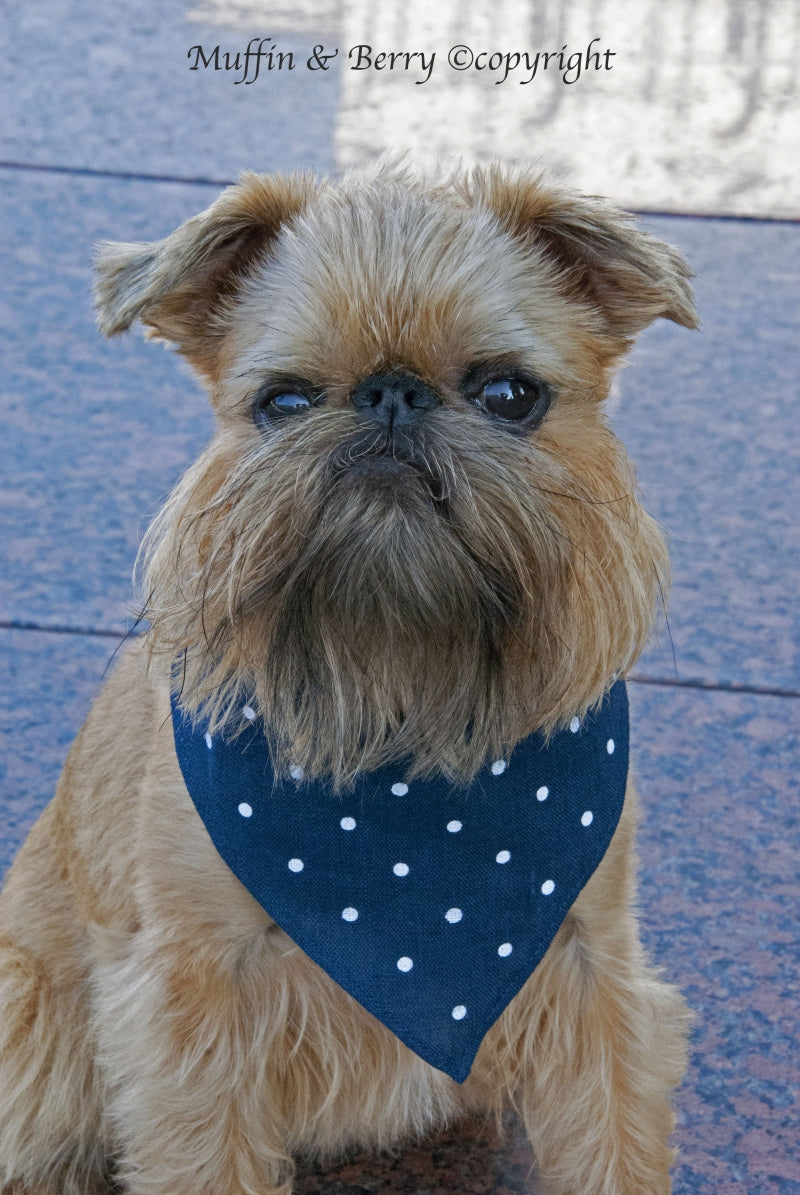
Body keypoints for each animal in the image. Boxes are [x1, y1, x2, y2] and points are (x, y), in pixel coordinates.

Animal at [0, 161, 693, 1195]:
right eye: (283, 402)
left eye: (510, 393)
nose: (391, 396)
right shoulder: (195, 1003)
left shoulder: (591, 967)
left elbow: (611, 1142)